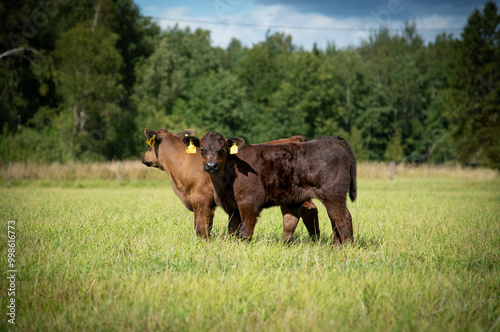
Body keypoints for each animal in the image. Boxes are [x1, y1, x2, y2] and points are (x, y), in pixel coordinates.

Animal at [143, 128, 318, 240]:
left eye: (149, 145)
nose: (144, 158)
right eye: (202, 149)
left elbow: (202, 227)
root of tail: (296, 139)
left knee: (309, 210)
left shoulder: (202, 199)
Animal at [183, 132, 356, 244]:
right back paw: (336, 245)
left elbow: (245, 231)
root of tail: (331, 140)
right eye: (203, 149)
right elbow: (233, 230)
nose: (211, 166)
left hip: (333, 195)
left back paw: (347, 246)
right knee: (332, 219)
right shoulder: (232, 206)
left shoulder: (249, 202)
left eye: (222, 149)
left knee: (343, 218)